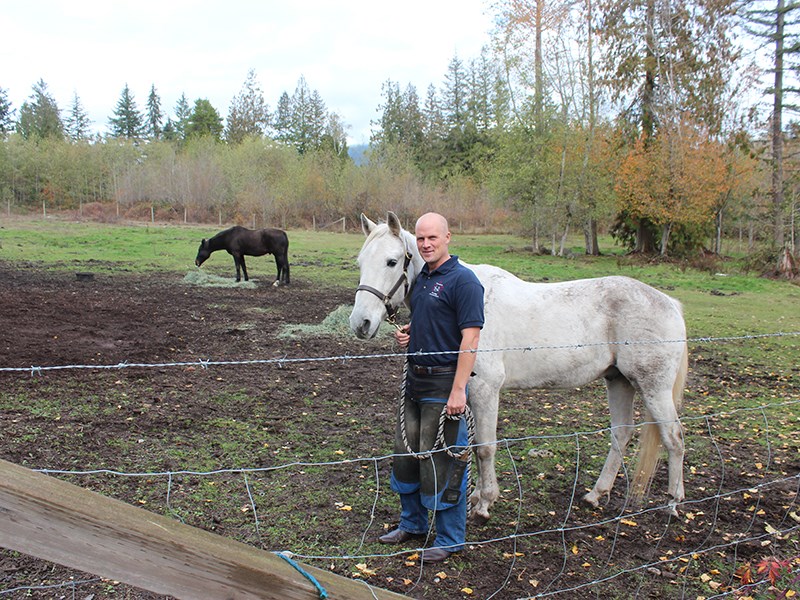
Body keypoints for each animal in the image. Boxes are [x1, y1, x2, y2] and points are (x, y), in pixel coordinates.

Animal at [348, 214, 688, 520]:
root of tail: (670, 304)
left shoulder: (486, 389)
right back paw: (596, 494)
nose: (360, 323)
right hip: (619, 381)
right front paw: (475, 496)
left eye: (392, 261)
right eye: (361, 262)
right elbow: (473, 446)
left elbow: (485, 447)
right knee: (621, 434)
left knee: (674, 438)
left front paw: (485, 503)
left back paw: (673, 504)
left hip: (653, 387)